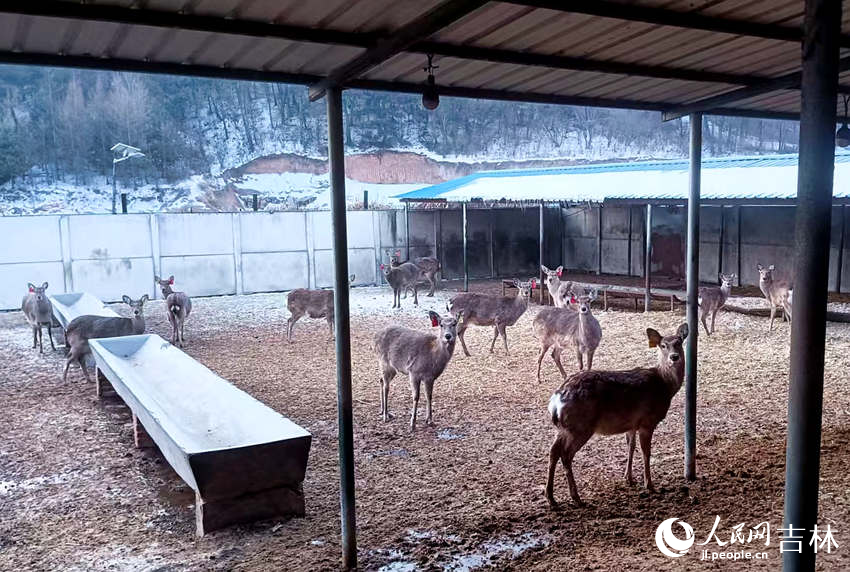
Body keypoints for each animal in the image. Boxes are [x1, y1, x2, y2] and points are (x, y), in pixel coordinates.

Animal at [545, 323, 689, 507]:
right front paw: (649, 485)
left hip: (564, 427)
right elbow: (646, 452)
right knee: (566, 454)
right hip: (580, 426)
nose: (674, 357)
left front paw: (629, 478)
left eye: (679, 342)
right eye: (663, 345)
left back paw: (551, 498)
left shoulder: (632, 423)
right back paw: (576, 497)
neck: (665, 385)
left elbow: (631, 447)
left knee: (553, 451)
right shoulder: (647, 421)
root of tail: (556, 400)